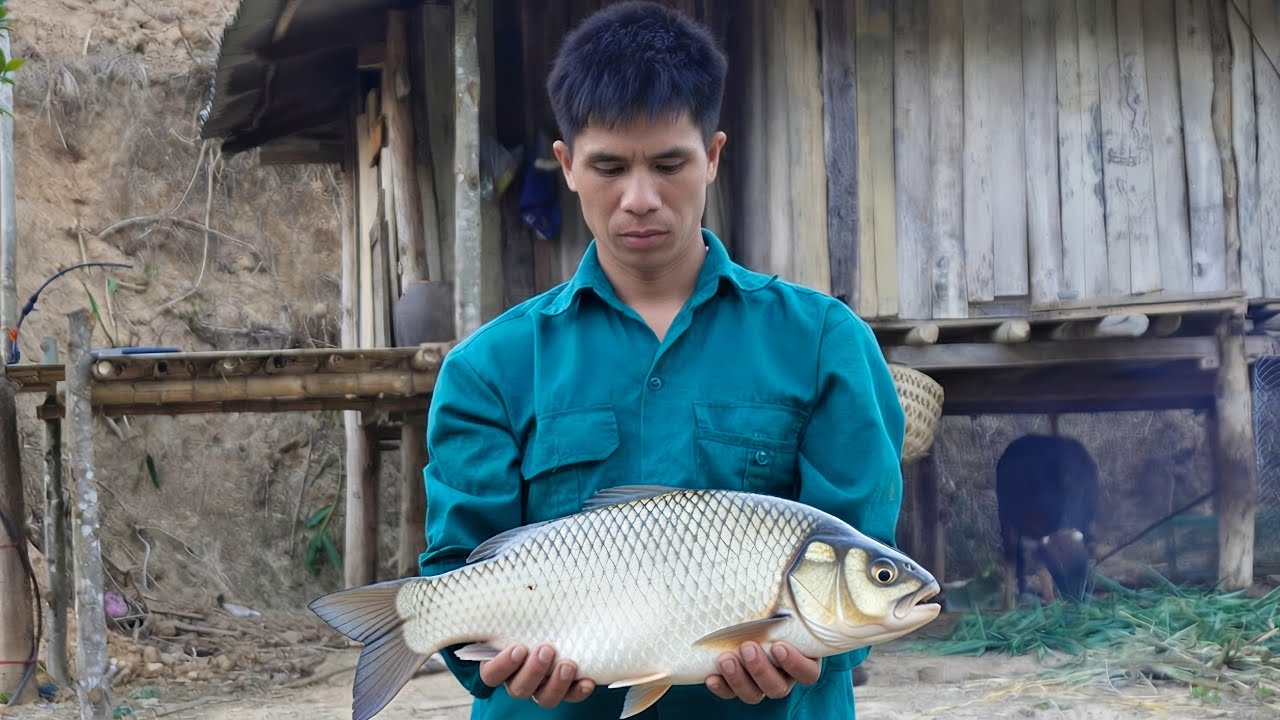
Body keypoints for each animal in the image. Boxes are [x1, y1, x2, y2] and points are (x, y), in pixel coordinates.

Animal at [995, 433, 1100, 608]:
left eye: (1082, 568)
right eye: (1058, 574)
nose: (1074, 599)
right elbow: (1041, 568)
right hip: (1007, 517)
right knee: (1011, 557)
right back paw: (1009, 605)